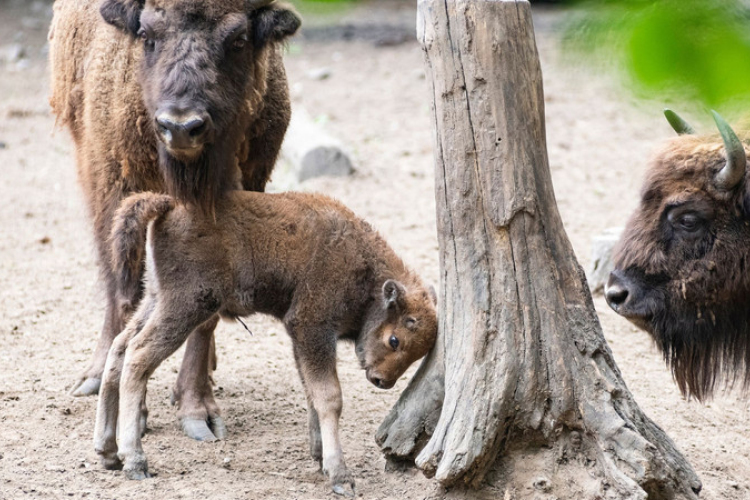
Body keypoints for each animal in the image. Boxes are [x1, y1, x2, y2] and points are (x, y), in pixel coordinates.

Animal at [46, 0, 300, 440]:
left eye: (238, 39)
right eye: (148, 36)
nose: (181, 127)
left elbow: (205, 313)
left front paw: (198, 412)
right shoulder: (115, 190)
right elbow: (126, 294)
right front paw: (131, 409)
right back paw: (93, 377)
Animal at [94, 189, 438, 494]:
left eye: (417, 353)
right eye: (394, 340)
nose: (382, 381)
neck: (362, 265)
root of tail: (171, 204)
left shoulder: (301, 339)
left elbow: (311, 393)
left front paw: (319, 457)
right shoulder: (312, 329)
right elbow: (329, 397)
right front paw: (341, 476)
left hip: (155, 298)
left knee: (119, 348)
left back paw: (107, 451)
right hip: (186, 306)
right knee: (138, 356)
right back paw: (135, 462)